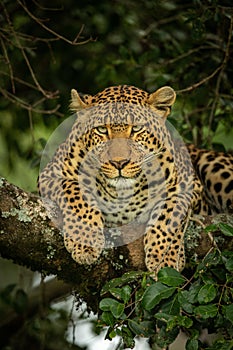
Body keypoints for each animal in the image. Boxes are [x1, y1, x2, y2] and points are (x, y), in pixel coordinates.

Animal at [37, 84, 232, 274]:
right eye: (101, 130)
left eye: (137, 128)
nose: (119, 162)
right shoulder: (48, 175)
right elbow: (77, 192)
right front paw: (85, 241)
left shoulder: (187, 186)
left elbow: (169, 215)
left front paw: (164, 258)